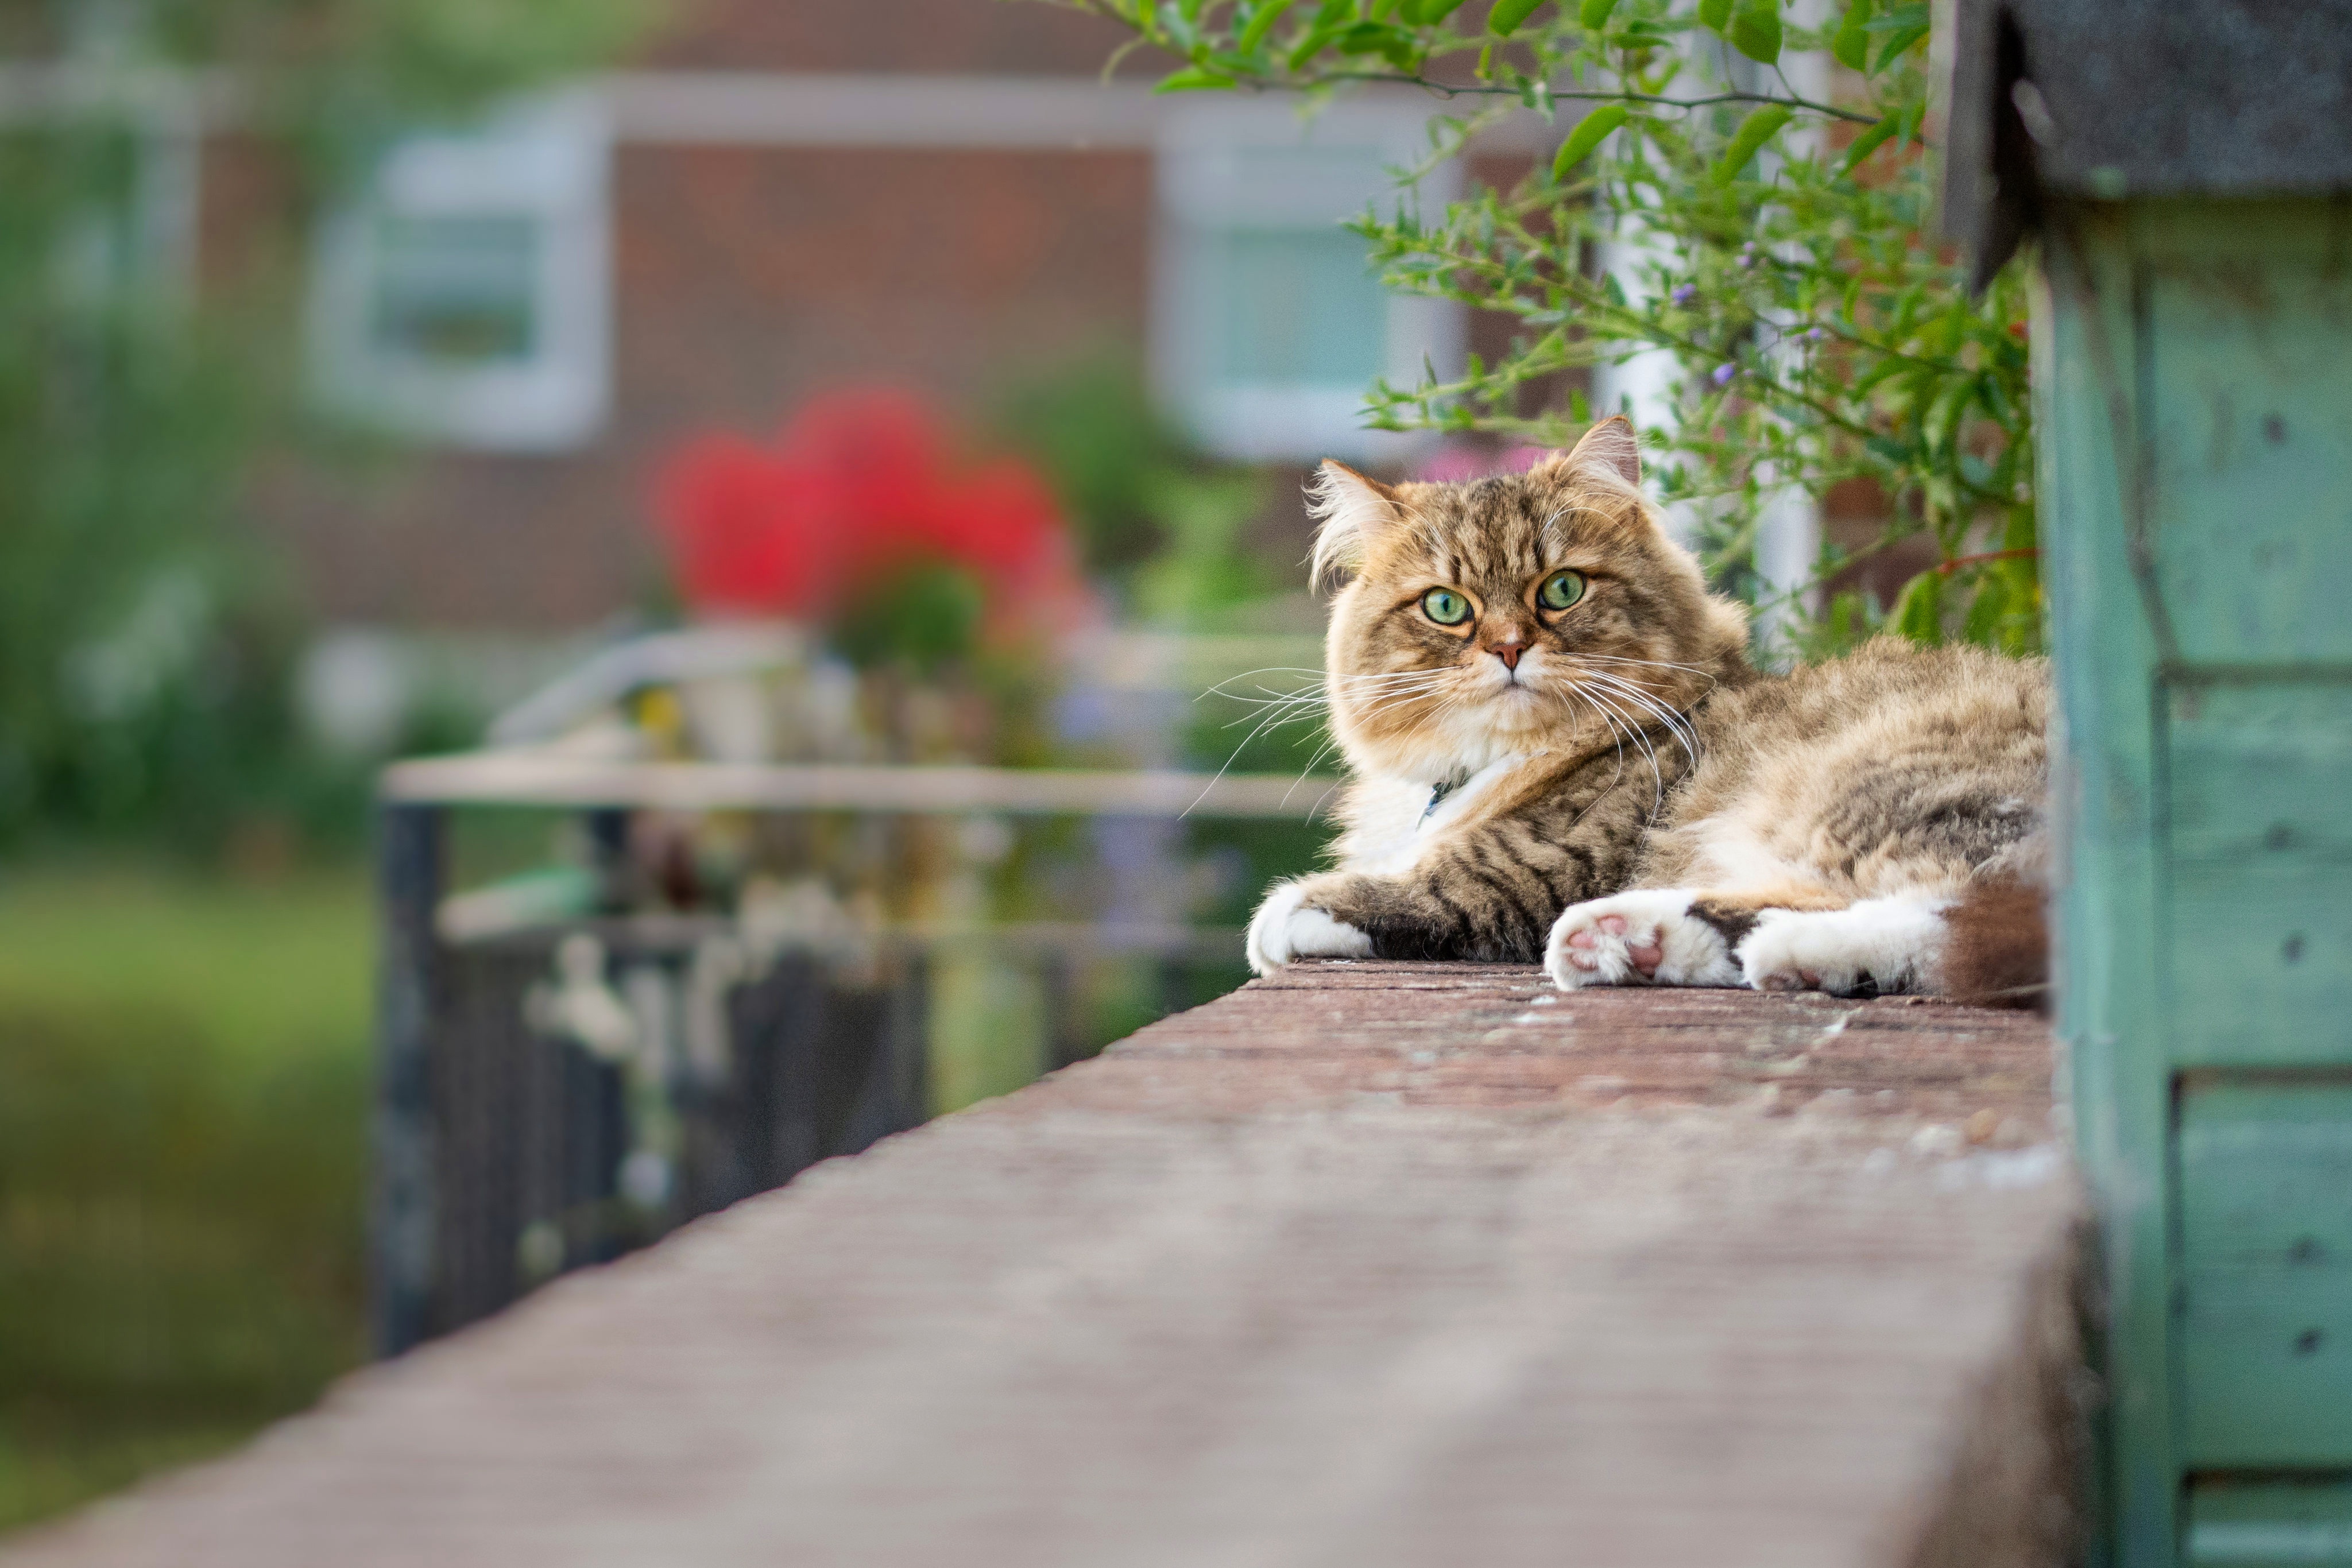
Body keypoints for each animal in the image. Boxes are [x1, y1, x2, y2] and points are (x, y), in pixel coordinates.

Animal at [1241, 413, 2051, 1006]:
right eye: (1446, 607)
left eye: (1561, 589)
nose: (1508, 648)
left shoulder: (1540, 862)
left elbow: (1415, 884)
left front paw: (1278, 917)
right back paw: (1632, 940)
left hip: (1871, 797)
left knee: (1974, 921)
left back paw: (1769, 952)